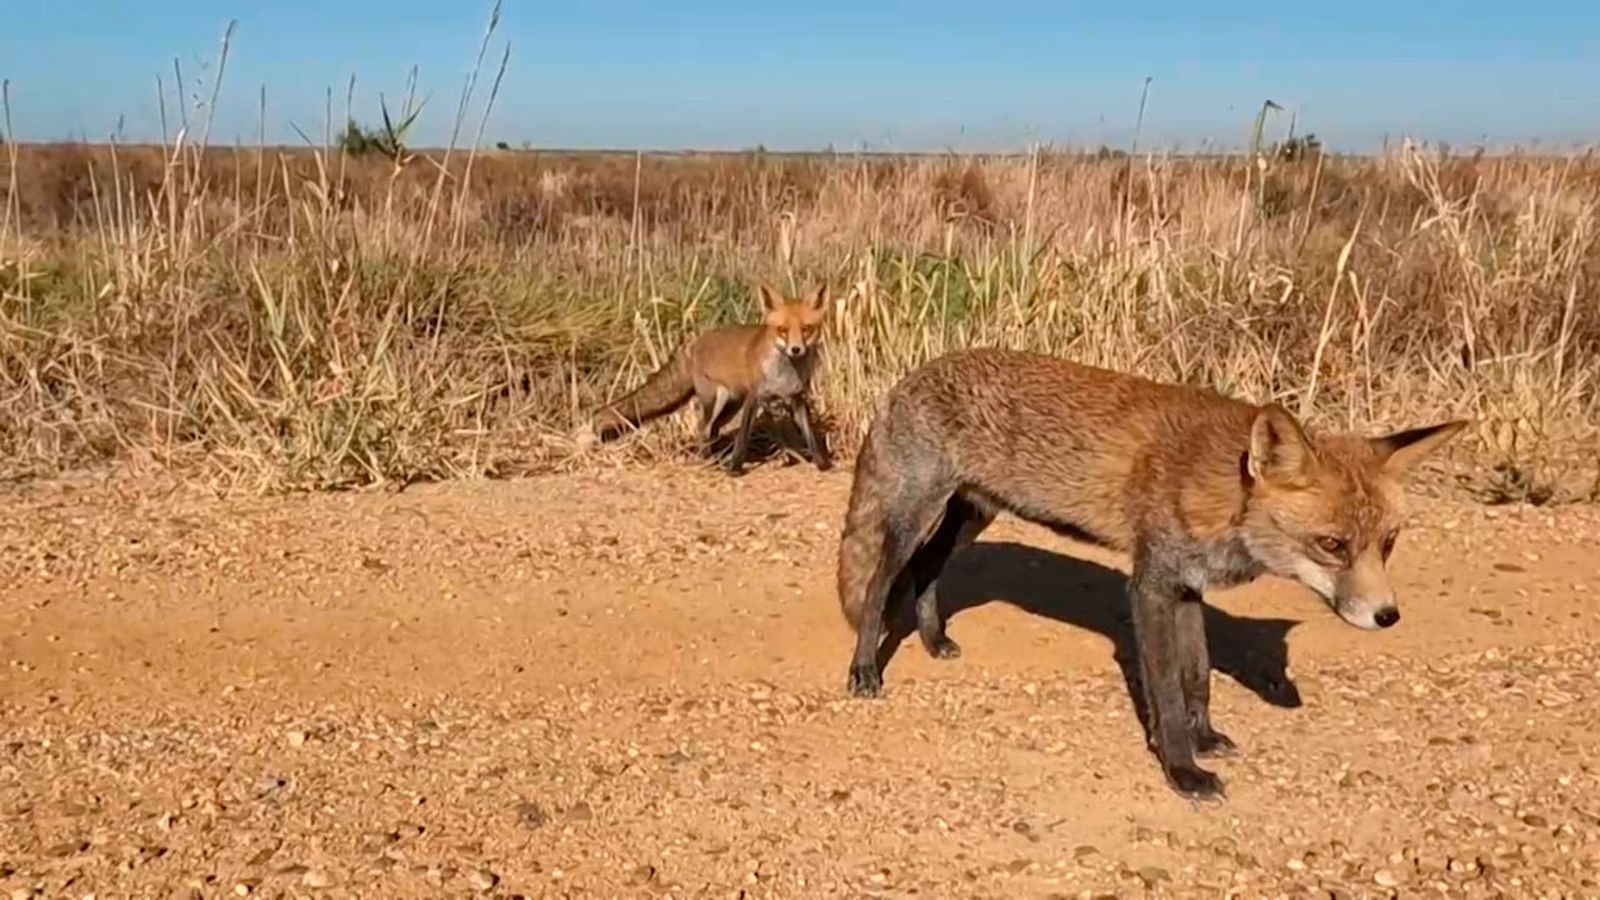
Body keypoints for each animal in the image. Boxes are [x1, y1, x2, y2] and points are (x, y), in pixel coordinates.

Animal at [573, 282, 833, 476]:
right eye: (783, 330)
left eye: (807, 329)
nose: (796, 350)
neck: (784, 374)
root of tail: (693, 341)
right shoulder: (754, 399)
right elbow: (742, 439)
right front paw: (735, 469)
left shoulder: (797, 398)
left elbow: (810, 436)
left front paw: (823, 464)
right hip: (717, 399)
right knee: (703, 429)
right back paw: (708, 462)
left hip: (730, 405)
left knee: (713, 430)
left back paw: (715, 459)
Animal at [835, 347, 1467, 799]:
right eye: (1332, 545)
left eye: (1388, 544)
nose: (1388, 616)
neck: (1219, 490)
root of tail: (913, 374)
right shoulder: (1151, 585)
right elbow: (1164, 687)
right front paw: (1183, 771)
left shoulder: (1187, 586)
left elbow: (1198, 675)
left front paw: (1204, 738)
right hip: (917, 515)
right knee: (880, 584)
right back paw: (865, 668)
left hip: (972, 515)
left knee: (926, 570)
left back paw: (933, 637)